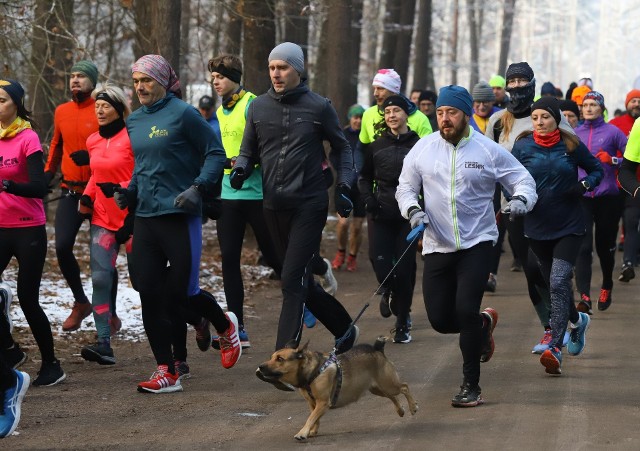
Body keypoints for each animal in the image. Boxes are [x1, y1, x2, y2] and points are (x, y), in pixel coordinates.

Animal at [258, 340, 418, 442]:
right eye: (272, 357)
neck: (312, 372)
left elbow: (311, 417)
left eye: (280, 359)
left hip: (387, 384)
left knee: (404, 387)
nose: (260, 366)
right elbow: (314, 417)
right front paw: (312, 431)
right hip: (377, 388)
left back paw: (413, 407)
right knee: (393, 397)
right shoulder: (312, 403)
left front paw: (302, 432)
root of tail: (377, 349)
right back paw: (400, 410)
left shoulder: (323, 402)